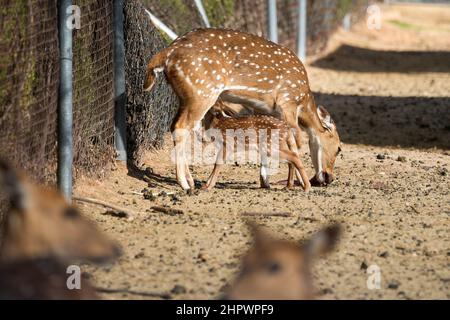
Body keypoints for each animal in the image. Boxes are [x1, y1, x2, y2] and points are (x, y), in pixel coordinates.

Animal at [145, 28, 342, 190]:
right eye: (339, 148)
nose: (329, 178)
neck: (303, 101)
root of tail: (166, 54)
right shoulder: (287, 103)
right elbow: (294, 143)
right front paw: (294, 184)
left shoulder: (263, 109)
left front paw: (265, 181)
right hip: (202, 91)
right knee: (181, 128)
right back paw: (185, 184)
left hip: (185, 96)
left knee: (178, 127)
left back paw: (191, 181)